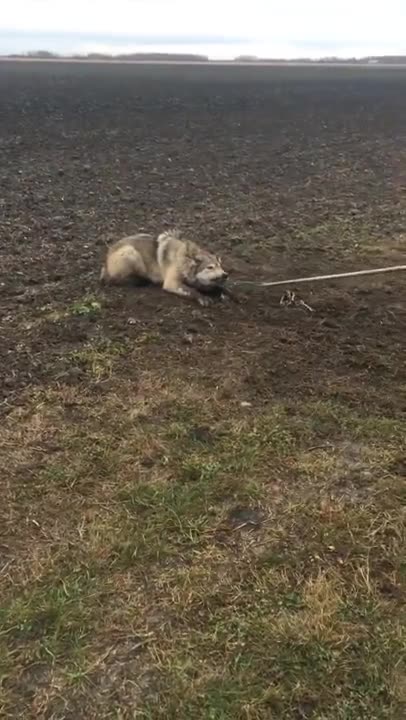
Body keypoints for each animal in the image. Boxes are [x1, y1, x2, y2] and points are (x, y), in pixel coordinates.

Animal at [100, 229, 229, 305]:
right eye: (210, 267)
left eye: (219, 266)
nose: (225, 275)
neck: (183, 260)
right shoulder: (171, 283)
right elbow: (191, 290)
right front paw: (203, 298)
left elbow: (217, 287)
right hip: (131, 252)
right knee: (117, 280)